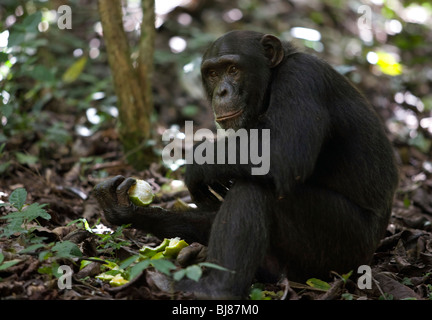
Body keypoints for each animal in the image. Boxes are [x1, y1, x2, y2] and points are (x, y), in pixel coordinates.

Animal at [93, 30, 398, 300]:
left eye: (233, 69)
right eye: (213, 74)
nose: (222, 91)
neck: (273, 80)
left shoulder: (302, 79)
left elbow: (283, 154)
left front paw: (199, 164)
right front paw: (126, 208)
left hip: (339, 249)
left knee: (255, 189)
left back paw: (216, 289)